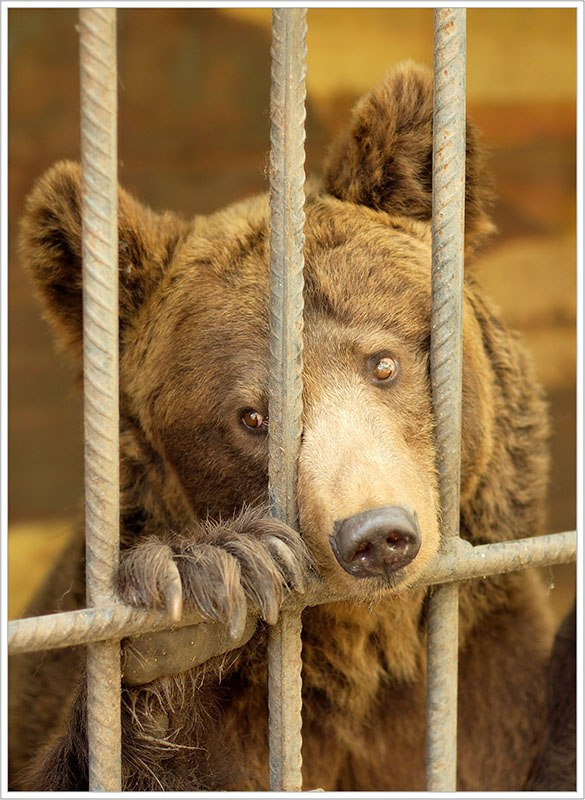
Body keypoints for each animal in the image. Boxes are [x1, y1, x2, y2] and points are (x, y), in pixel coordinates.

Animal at [9, 62, 570, 791]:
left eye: (383, 363)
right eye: (252, 416)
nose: (375, 535)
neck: (365, 644)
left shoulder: (486, 678)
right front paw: (192, 596)